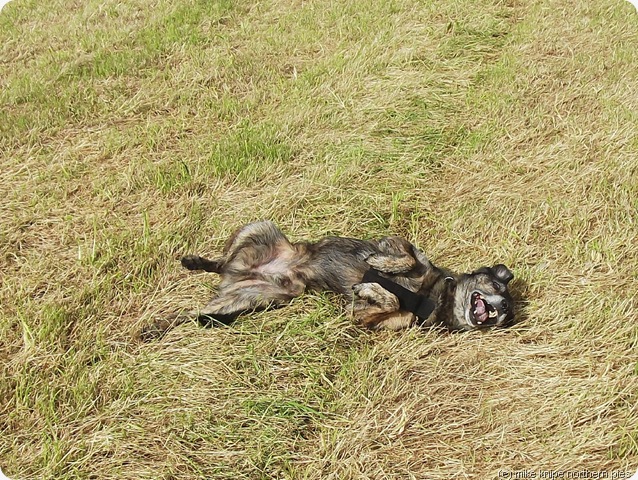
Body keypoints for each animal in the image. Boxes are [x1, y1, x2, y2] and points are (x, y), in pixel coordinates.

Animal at [142, 219, 516, 340]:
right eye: (498, 288)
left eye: (507, 313)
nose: (498, 310)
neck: (435, 296)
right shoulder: (398, 243)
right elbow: (403, 259)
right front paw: (376, 265)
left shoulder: (364, 318)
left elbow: (389, 299)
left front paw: (370, 287)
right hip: (260, 228)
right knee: (219, 261)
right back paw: (195, 261)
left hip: (260, 298)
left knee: (195, 314)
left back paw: (156, 327)